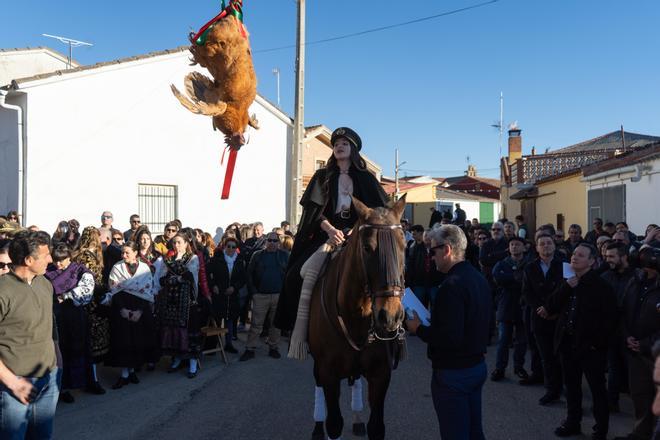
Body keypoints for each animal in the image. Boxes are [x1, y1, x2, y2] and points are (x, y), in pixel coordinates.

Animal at [310, 197, 408, 440]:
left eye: (404, 247)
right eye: (367, 248)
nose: (390, 316)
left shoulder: (381, 374)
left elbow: (376, 427)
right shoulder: (328, 373)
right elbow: (334, 424)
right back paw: (317, 426)